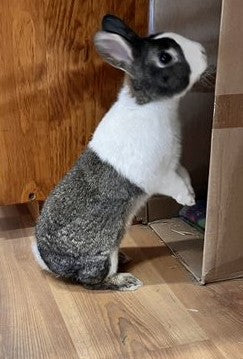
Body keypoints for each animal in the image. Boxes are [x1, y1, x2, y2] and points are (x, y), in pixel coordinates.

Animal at [31, 14, 207, 292]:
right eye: (165, 57)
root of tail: (50, 263)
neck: (150, 103)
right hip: (102, 255)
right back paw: (126, 281)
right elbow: (173, 184)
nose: (203, 51)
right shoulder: (157, 174)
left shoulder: (174, 164)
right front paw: (188, 201)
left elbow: (185, 175)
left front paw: (191, 194)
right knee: (91, 282)